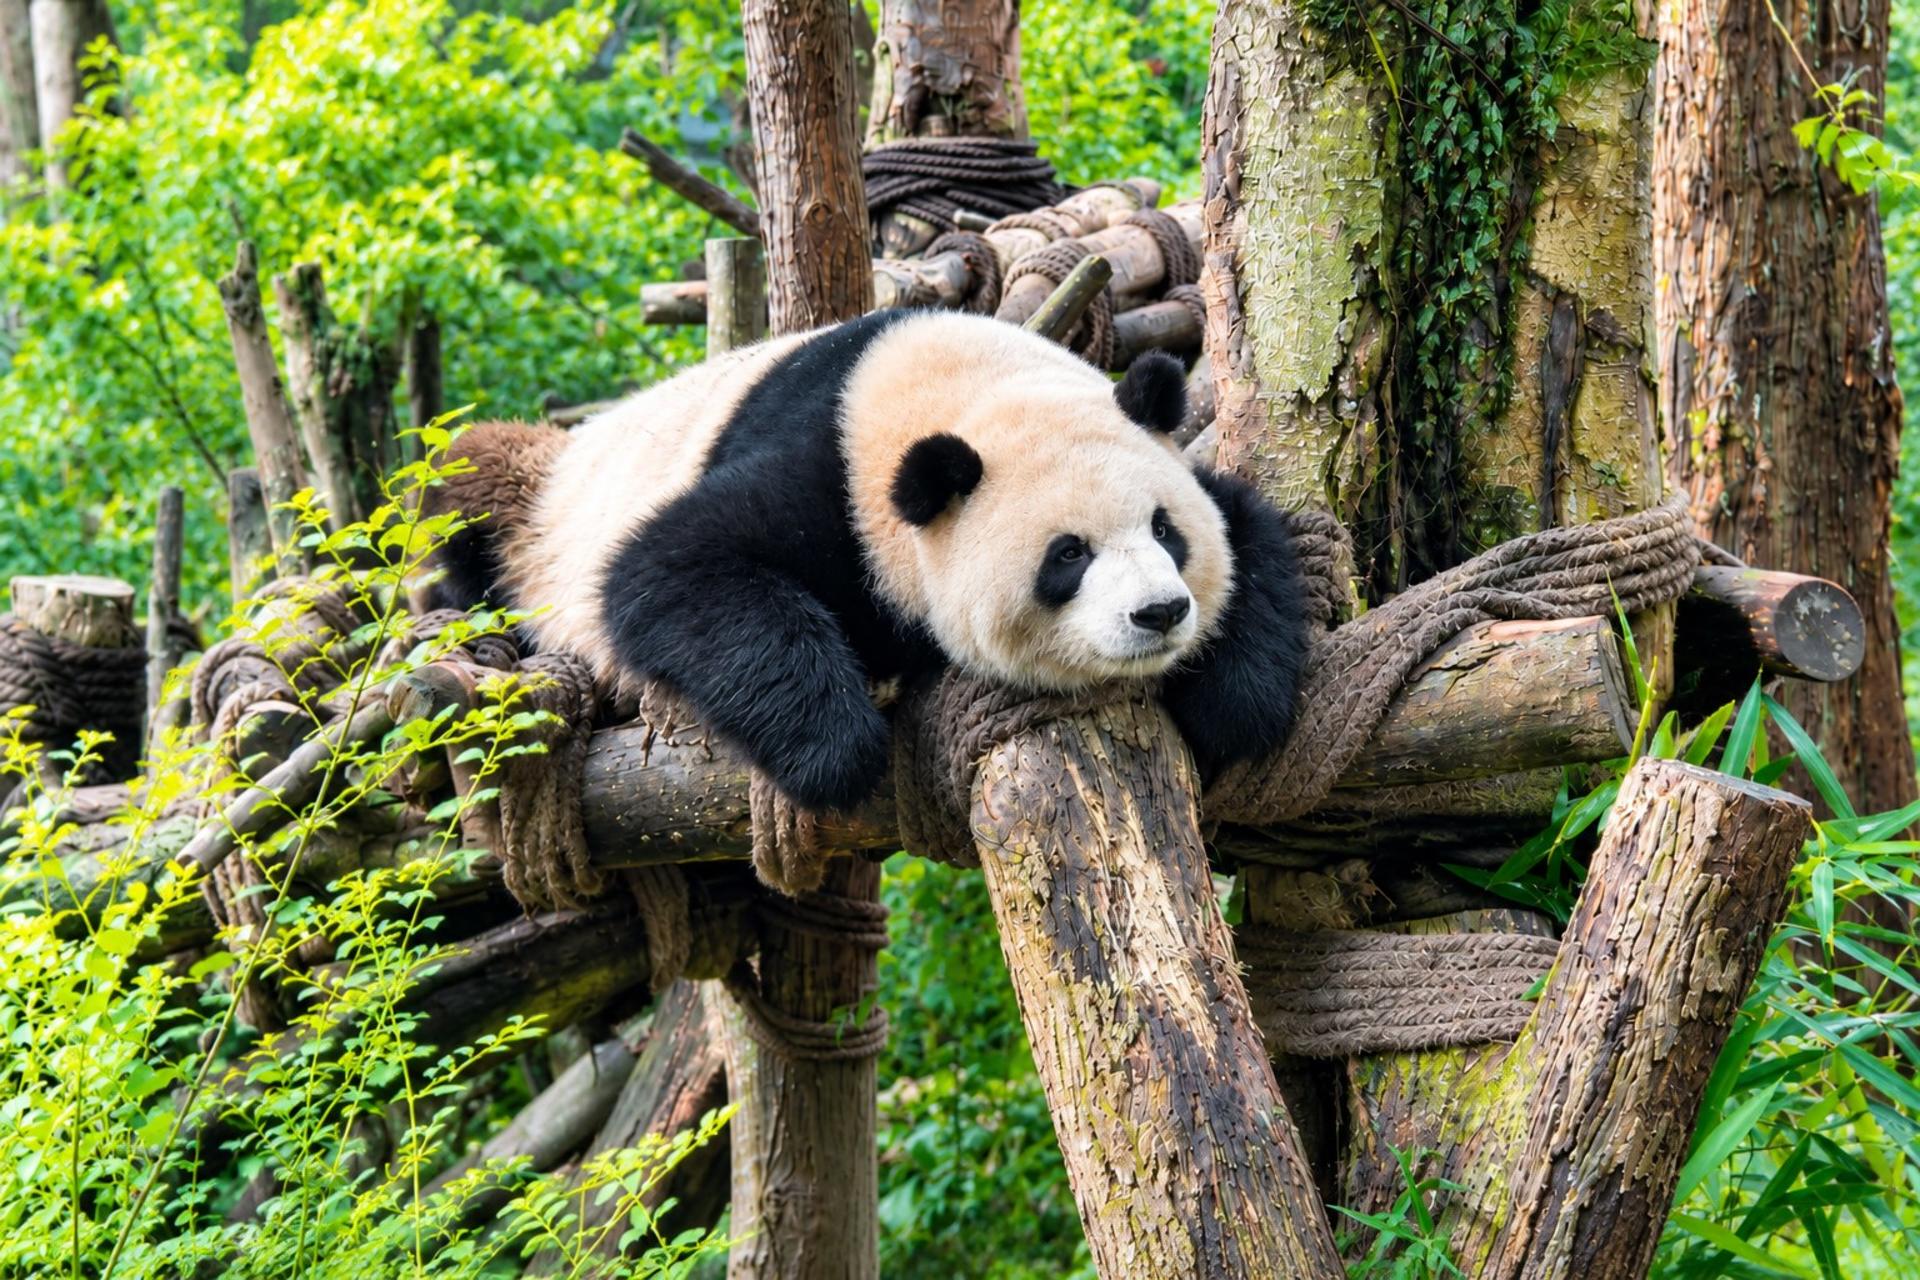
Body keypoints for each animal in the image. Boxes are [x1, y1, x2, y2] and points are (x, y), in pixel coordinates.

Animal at [425, 309, 1308, 813]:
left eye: (1165, 532)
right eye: (1068, 555)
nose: (1160, 612)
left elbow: (1253, 527)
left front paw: (1236, 699)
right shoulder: (827, 475)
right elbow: (669, 569)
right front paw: (833, 751)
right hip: (534, 504)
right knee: (461, 488)